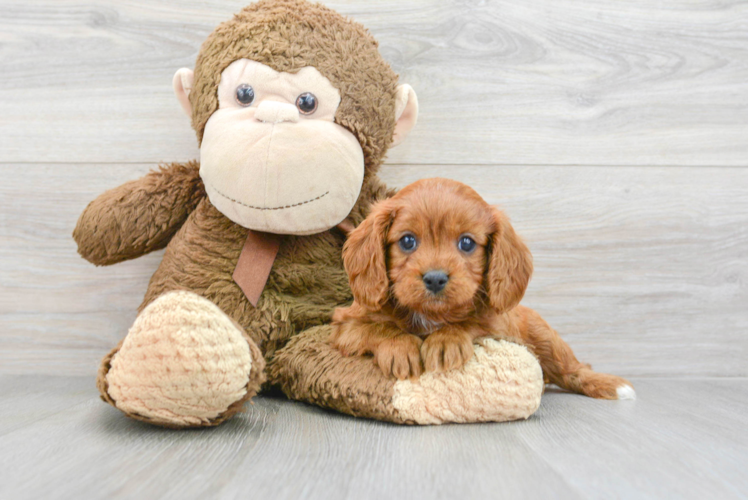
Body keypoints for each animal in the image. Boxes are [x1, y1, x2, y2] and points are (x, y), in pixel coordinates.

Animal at [330, 178, 636, 400]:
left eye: (466, 243)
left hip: (544, 335)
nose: (435, 279)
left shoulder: (501, 328)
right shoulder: (345, 325)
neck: (430, 316)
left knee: (573, 368)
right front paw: (400, 347)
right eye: (407, 241)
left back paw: (613, 385)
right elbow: (377, 327)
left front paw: (446, 340)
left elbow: (472, 322)